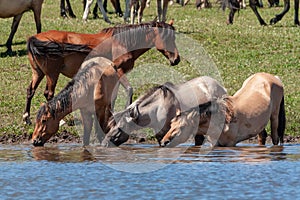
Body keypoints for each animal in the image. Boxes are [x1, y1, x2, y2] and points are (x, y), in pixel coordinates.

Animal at [23, 19, 180, 125]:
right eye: (166, 37)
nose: (176, 59)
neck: (122, 42)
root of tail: (34, 38)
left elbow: (113, 95)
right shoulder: (119, 70)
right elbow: (129, 89)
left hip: (38, 73)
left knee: (30, 90)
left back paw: (26, 118)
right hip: (52, 74)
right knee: (49, 94)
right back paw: (60, 121)